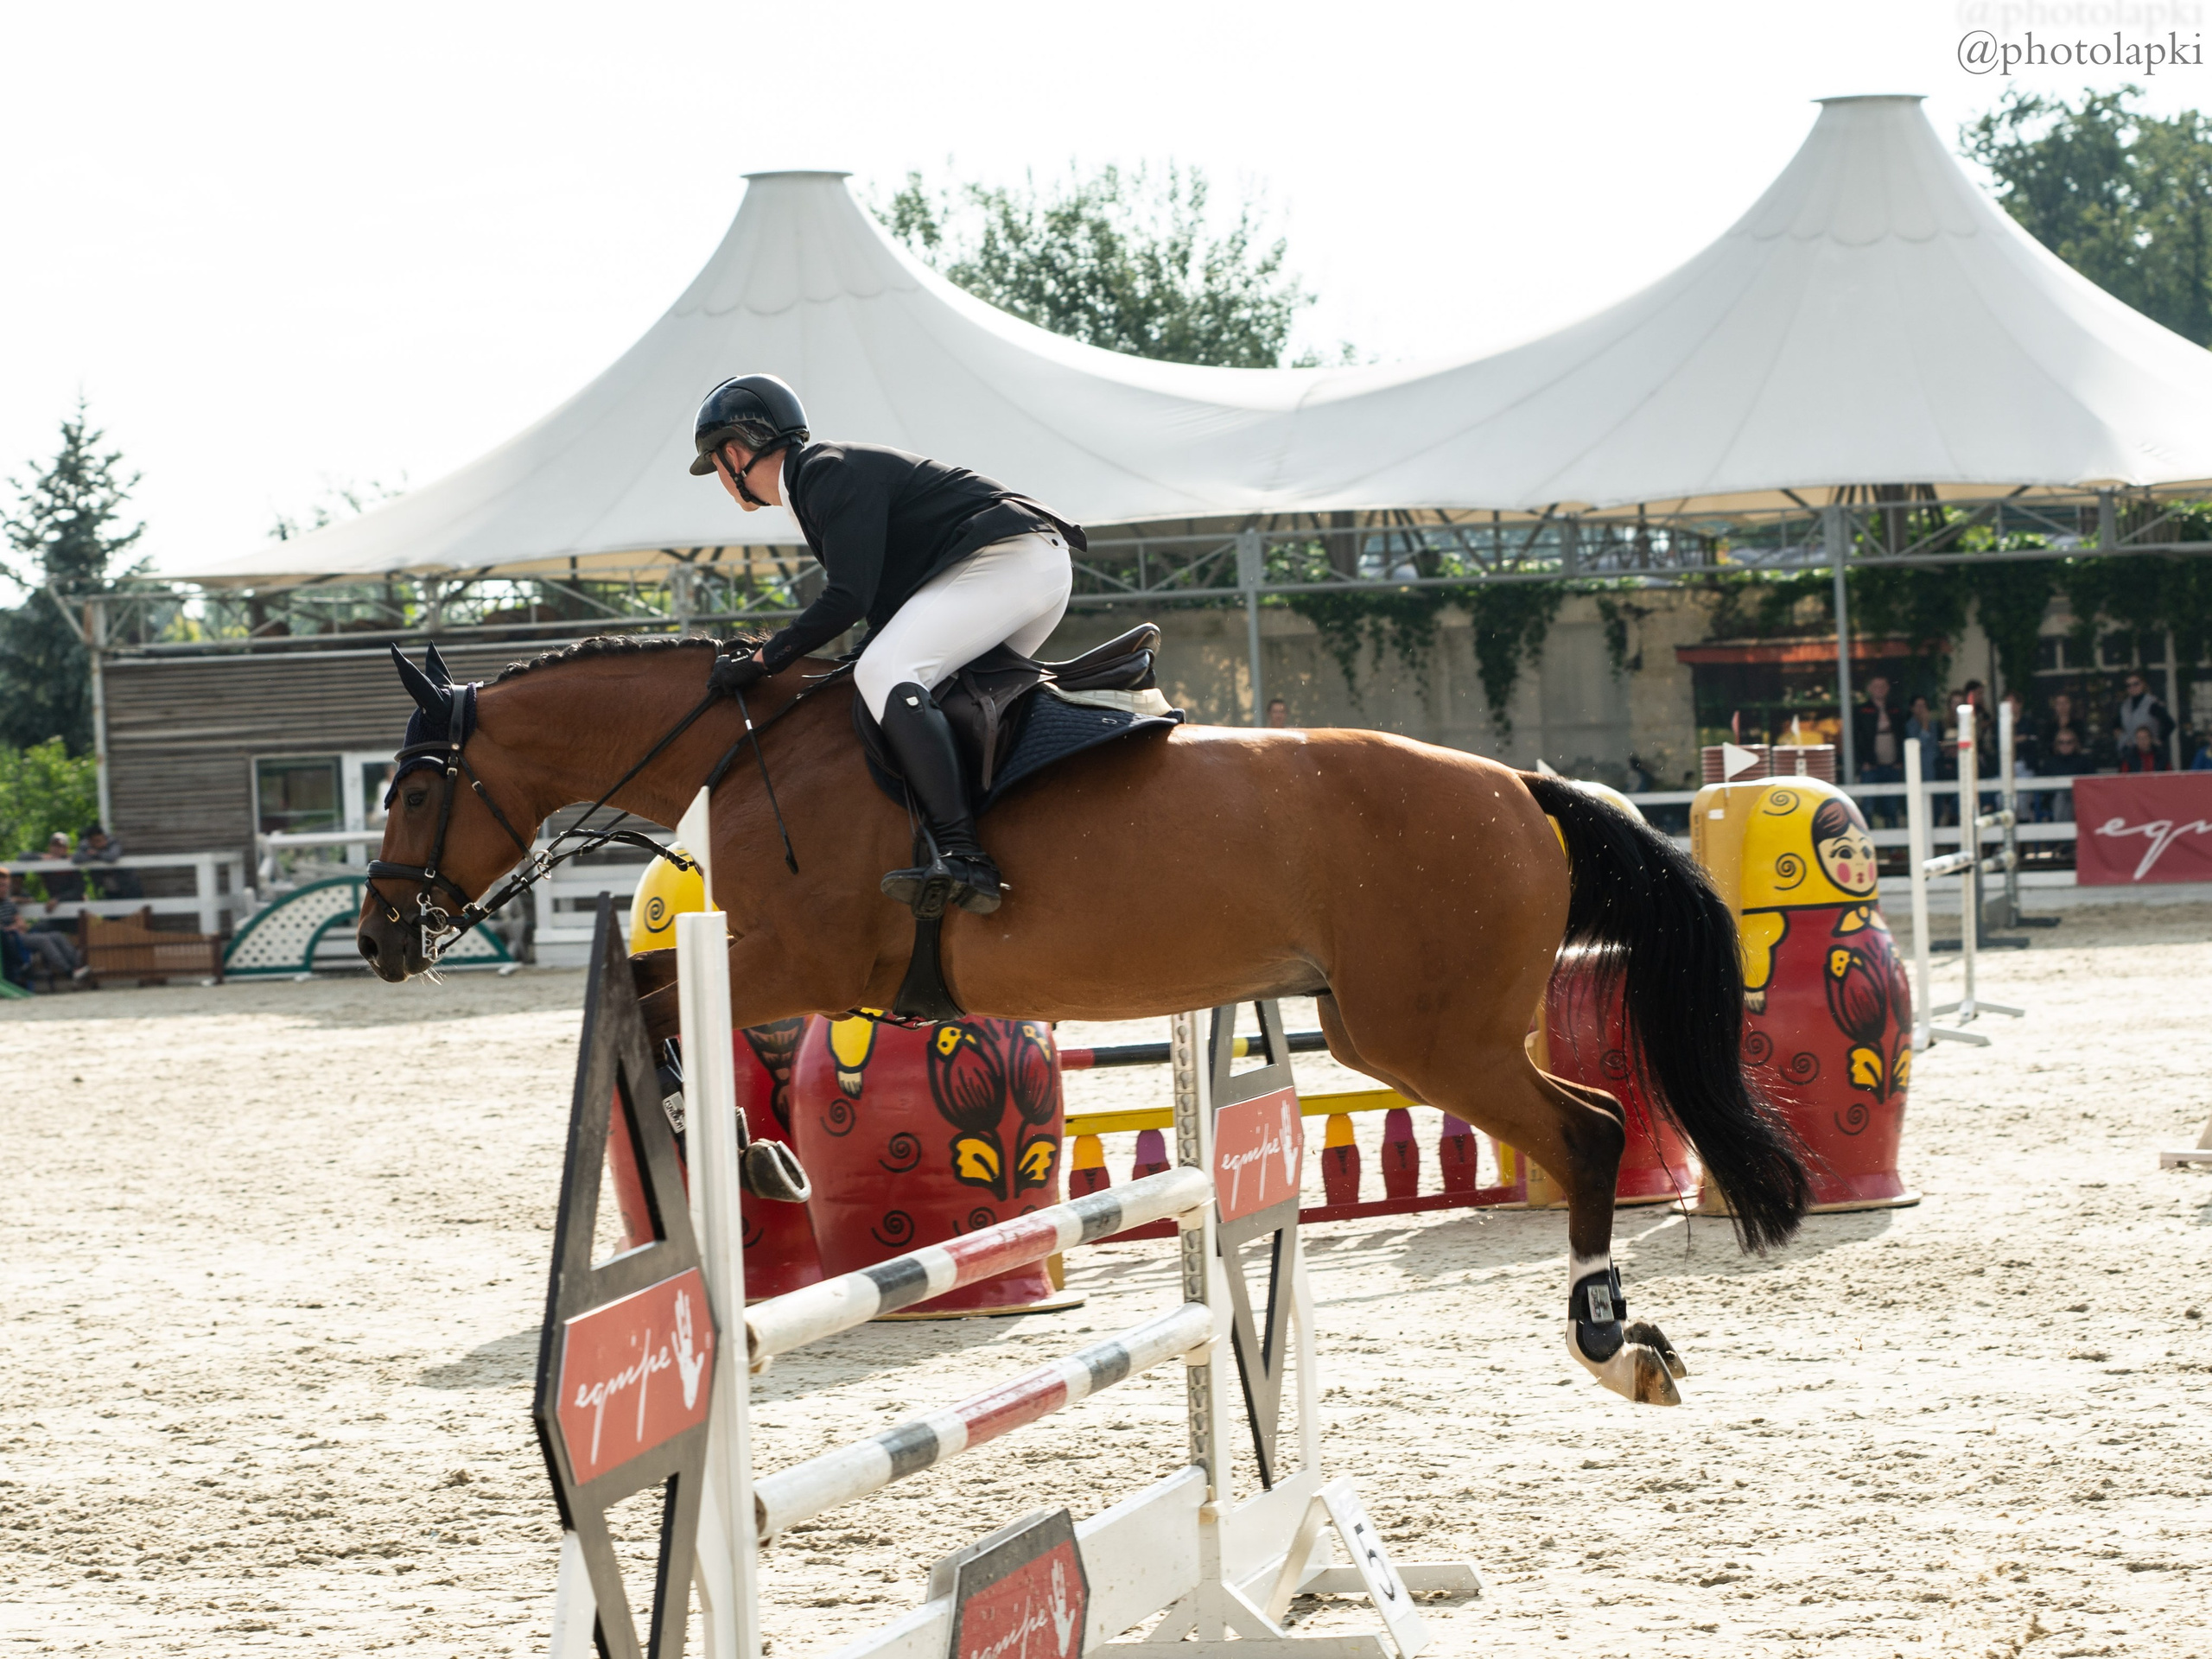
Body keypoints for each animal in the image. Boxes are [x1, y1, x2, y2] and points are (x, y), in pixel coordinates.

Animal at [358, 634, 1810, 1405]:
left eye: (412, 790)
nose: (379, 944)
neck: (749, 755)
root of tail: (1522, 787)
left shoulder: (793, 957)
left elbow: (659, 1013)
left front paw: (752, 1152)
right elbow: (663, 1016)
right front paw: (754, 1145)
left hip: (1423, 1037)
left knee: (1593, 1129)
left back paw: (1608, 1340)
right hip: (1387, 1031)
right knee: (1590, 1124)